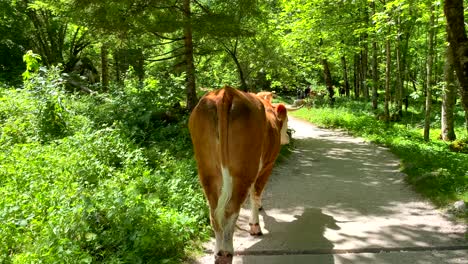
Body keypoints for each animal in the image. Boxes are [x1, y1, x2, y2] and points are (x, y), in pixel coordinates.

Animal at [188, 86, 290, 262]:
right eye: (287, 121)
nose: (287, 139)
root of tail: (226, 93)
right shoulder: (267, 165)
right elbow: (256, 193)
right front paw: (254, 225)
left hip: (207, 170)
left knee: (214, 212)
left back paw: (218, 252)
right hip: (243, 170)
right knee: (231, 210)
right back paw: (226, 252)